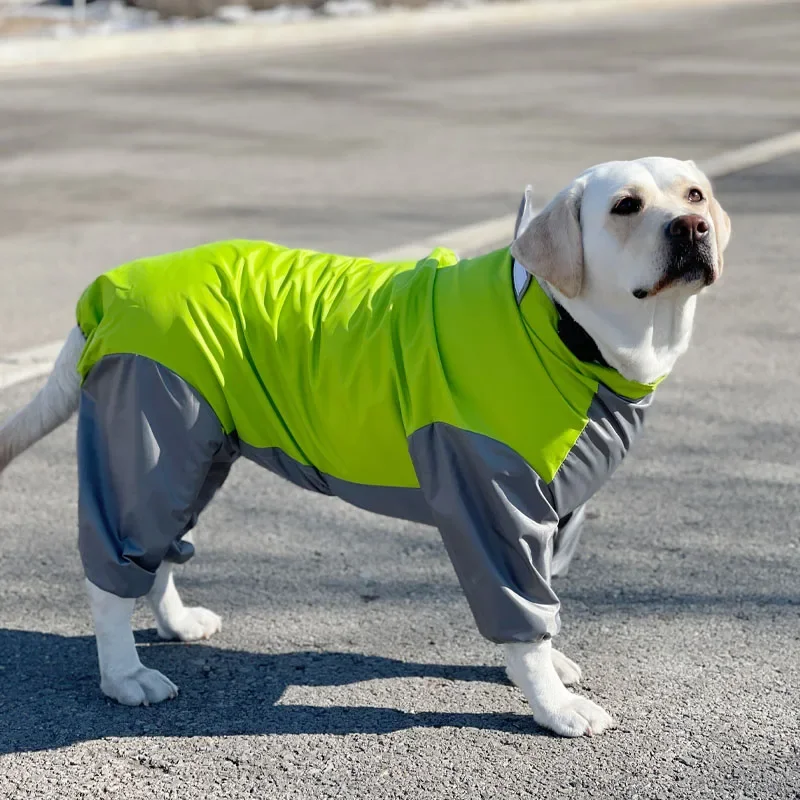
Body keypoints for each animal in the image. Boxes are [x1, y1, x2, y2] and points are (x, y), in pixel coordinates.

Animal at [0, 158, 728, 736]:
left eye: (694, 194)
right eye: (625, 206)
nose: (693, 227)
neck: (560, 330)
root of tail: (108, 287)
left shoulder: (552, 519)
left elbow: (545, 609)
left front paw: (551, 665)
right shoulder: (496, 512)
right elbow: (523, 617)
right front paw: (552, 708)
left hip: (193, 453)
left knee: (160, 555)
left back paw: (175, 623)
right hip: (145, 445)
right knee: (112, 570)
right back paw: (124, 675)